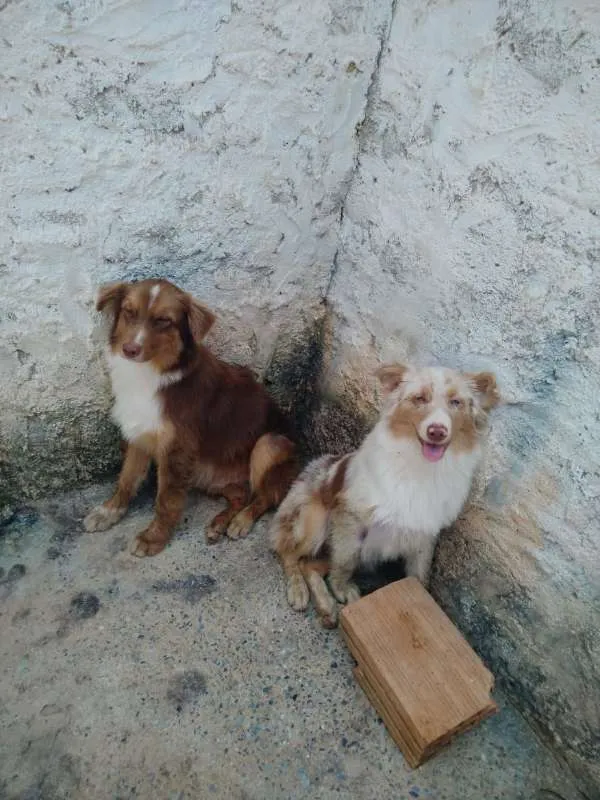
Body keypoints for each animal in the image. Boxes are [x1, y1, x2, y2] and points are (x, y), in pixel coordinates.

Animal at [83, 280, 298, 556]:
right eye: (129, 312)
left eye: (163, 321)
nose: (129, 350)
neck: (154, 373)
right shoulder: (138, 432)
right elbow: (127, 479)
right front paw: (109, 511)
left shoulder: (177, 448)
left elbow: (166, 499)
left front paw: (153, 538)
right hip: (212, 478)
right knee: (241, 496)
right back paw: (219, 524)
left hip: (269, 444)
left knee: (265, 497)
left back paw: (241, 521)